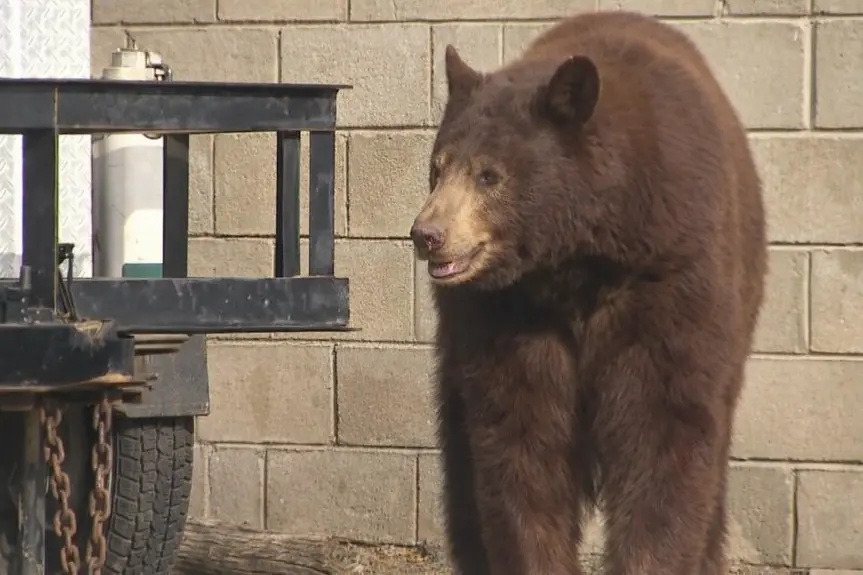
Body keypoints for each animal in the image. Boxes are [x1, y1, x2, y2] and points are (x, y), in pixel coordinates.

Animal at [408, 9, 767, 575]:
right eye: (438, 166)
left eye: (490, 174)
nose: (428, 234)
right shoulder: (507, 312)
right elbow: (521, 439)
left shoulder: (670, 276)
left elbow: (663, 430)